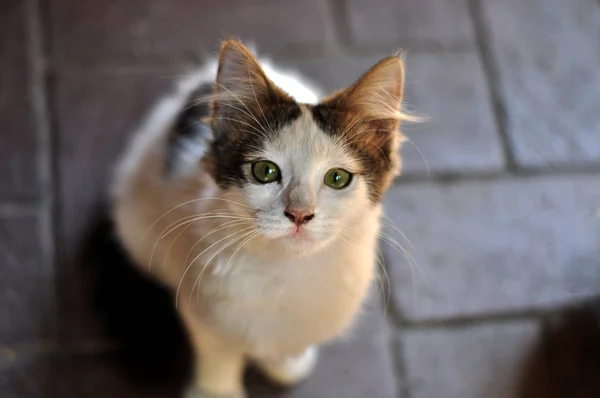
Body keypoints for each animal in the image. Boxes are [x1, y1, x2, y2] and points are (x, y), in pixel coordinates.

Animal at [112, 38, 410, 398]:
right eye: (265, 171)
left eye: (337, 178)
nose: (300, 214)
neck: (287, 269)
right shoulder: (205, 308)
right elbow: (218, 354)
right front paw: (216, 392)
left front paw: (285, 362)